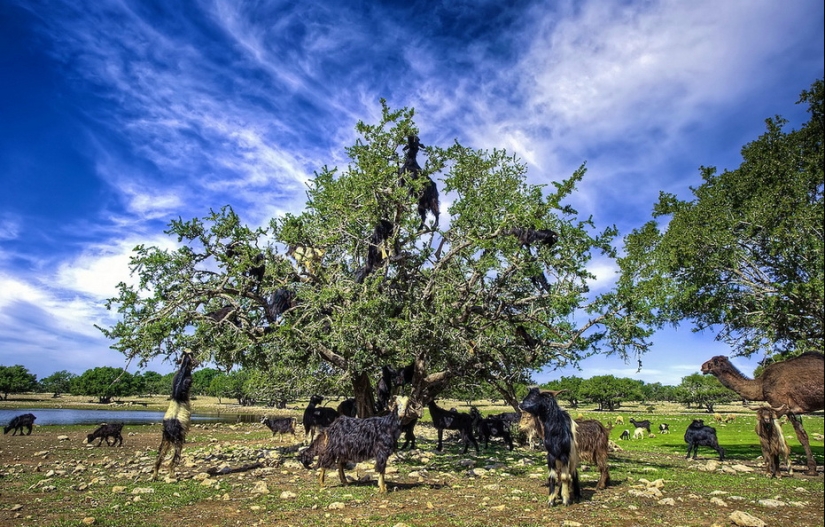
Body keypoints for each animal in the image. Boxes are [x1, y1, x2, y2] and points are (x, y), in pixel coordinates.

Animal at [152, 351, 195, 480]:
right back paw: (172, 475)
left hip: (165, 439)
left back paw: (155, 476)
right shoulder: (188, 381)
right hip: (178, 440)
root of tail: (169, 428)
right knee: (173, 461)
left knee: (159, 458)